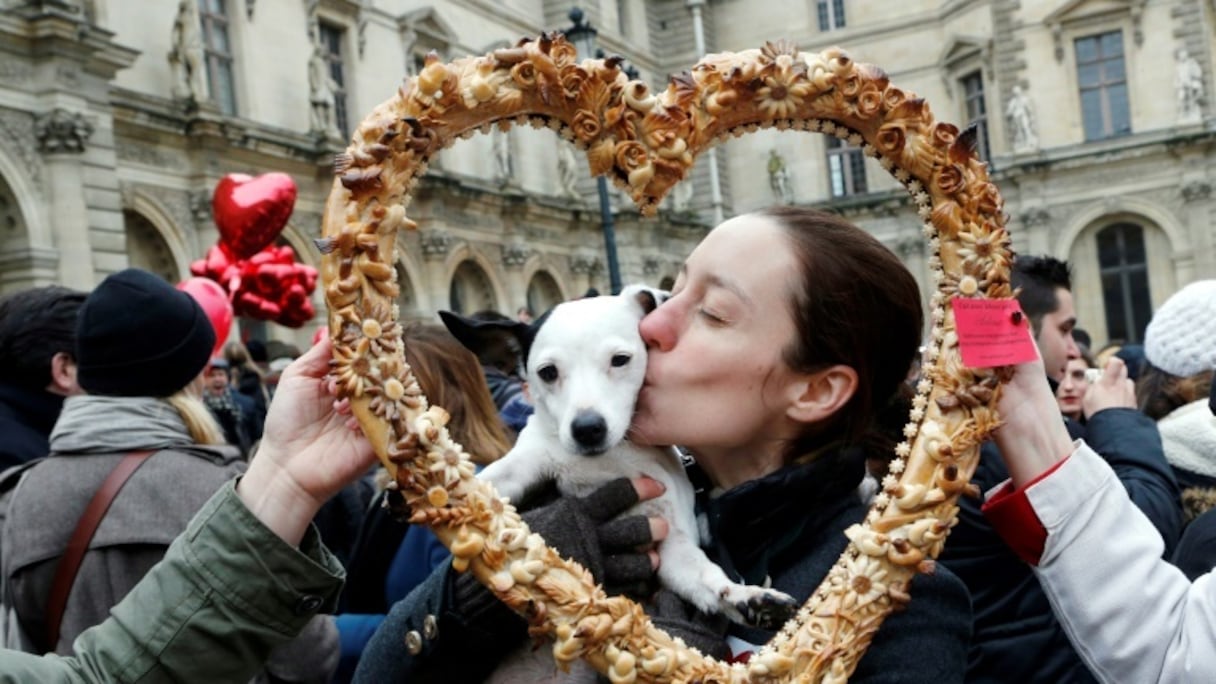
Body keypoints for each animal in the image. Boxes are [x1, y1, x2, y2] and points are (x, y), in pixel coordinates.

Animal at [474, 284, 797, 657]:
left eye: (620, 360)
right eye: (547, 372)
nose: (587, 428)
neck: (611, 459)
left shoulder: (673, 547)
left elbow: (708, 579)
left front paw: (746, 597)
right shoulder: (525, 462)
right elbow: (488, 481)